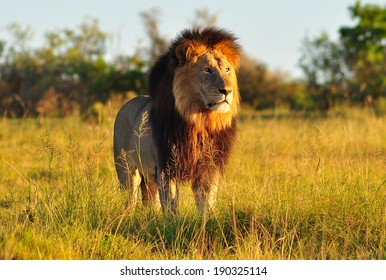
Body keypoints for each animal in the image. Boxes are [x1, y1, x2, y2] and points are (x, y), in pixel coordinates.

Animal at [113, 26, 241, 214]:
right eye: (207, 70)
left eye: (227, 70)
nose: (227, 91)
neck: (201, 121)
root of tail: (125, 105)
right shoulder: (166, 168)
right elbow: (172, 207)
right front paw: (173, 222)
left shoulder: (209, 169)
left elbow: (207, 204)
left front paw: (208, 220)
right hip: (126, 170)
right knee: (131, 198)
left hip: (149, 176)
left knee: (152, 201)